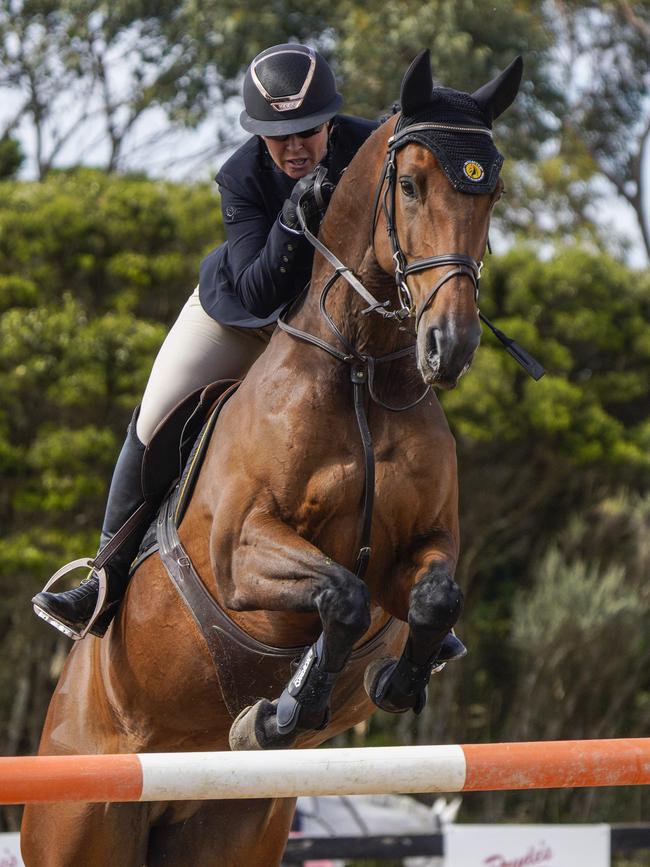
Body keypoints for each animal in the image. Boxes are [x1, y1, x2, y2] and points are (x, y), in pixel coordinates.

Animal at [21, 52, 520, 867]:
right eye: (411, 185)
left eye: (494, 190)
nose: (449, 346)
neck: (358, 368)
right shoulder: (240, 552)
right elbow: (340, 594)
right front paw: (282, 712)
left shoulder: (421, 545)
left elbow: (430, 599)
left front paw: (389, 682)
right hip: (84, 819)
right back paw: (81, 604)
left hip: (234, 826)